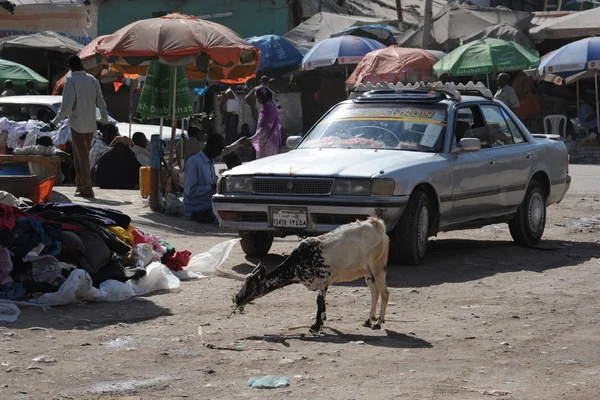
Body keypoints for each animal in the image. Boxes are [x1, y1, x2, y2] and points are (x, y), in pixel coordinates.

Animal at [232, 217, 392, 332]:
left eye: (251, 286)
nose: (237, 299)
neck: (299, 260)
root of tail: (377, 225)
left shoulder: (323, 279)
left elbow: (319, 301)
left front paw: (315, 326)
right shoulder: (325, 283)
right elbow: (322, 302)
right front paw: (321, 321)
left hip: (378, 266)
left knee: (384, 293)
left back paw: (378, 323)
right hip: (368, 272)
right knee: (375, 293)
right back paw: (369, 319)